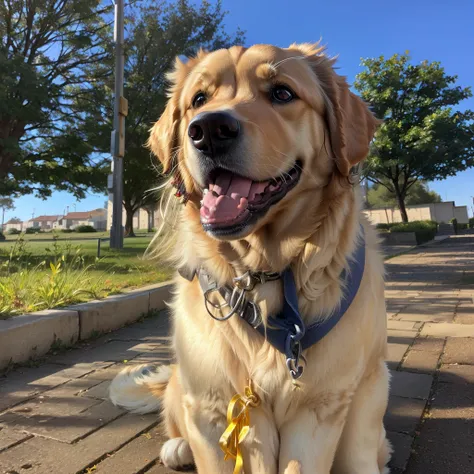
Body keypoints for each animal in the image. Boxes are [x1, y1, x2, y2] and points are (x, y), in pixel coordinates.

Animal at [109, 42, 390, 472]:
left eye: (282, 93)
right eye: (199, 100)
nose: (208, 131)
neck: (267, 272)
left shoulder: (319, 406)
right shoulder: (215, 404)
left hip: (373, 385)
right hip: (184, 382)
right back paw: (177, 448)